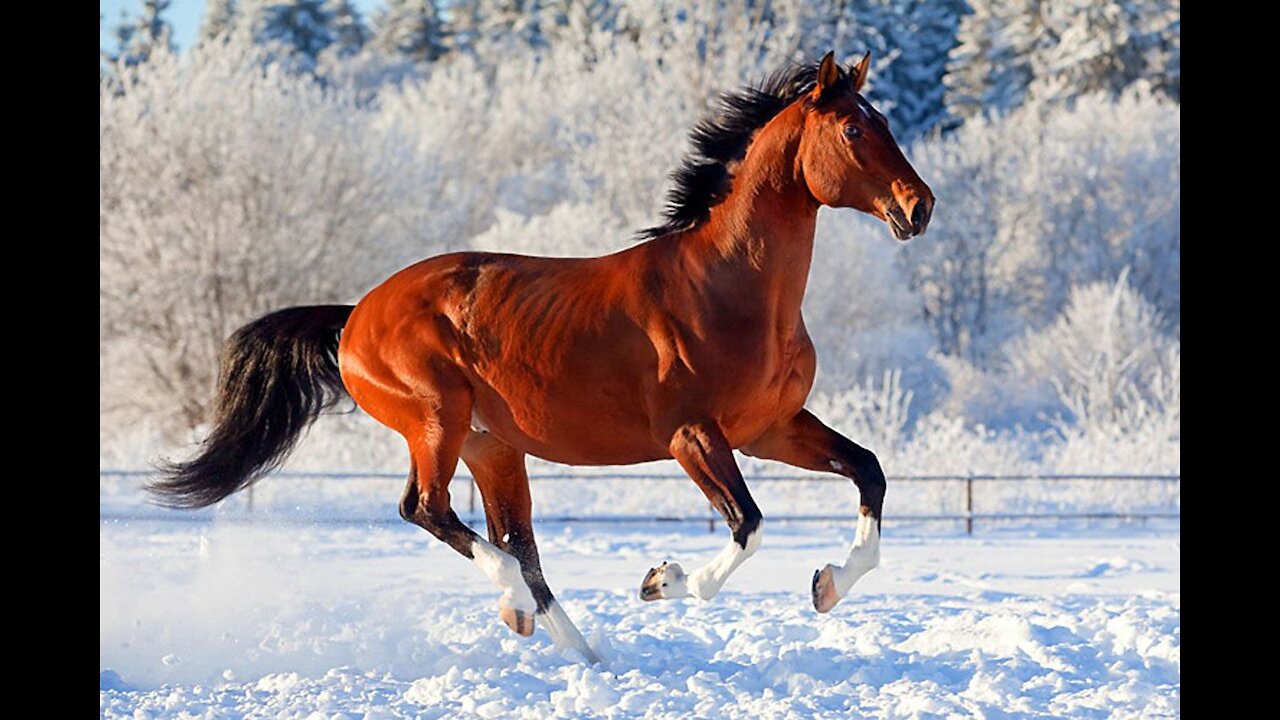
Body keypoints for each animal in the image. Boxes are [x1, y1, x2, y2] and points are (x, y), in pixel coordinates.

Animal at [152, 51, 931, 666]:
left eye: (886, 123)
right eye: (854, 129)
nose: (918, 207)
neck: (730, 288)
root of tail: (354, 318)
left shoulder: (771, 428)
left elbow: (869, 471)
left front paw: (828, 584)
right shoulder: (694, 436)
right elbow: (749, 523)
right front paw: (662, 580)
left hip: (492, 446)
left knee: (515, 542)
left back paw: (578, 648)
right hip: (436, 422)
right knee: (429, 511)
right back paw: (515, 604)